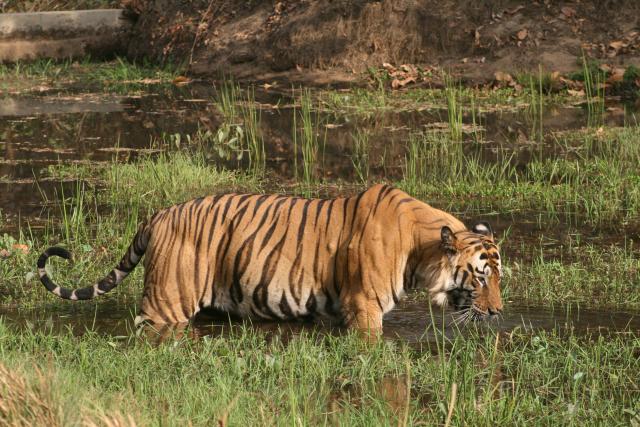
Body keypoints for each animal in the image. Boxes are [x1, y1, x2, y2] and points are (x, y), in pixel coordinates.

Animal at [37, 184, 503, 333]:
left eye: (499, 278)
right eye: (480, 278)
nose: (498, 312)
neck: (420, 251)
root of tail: (160, 214)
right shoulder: (364, 306)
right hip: (167, 300)